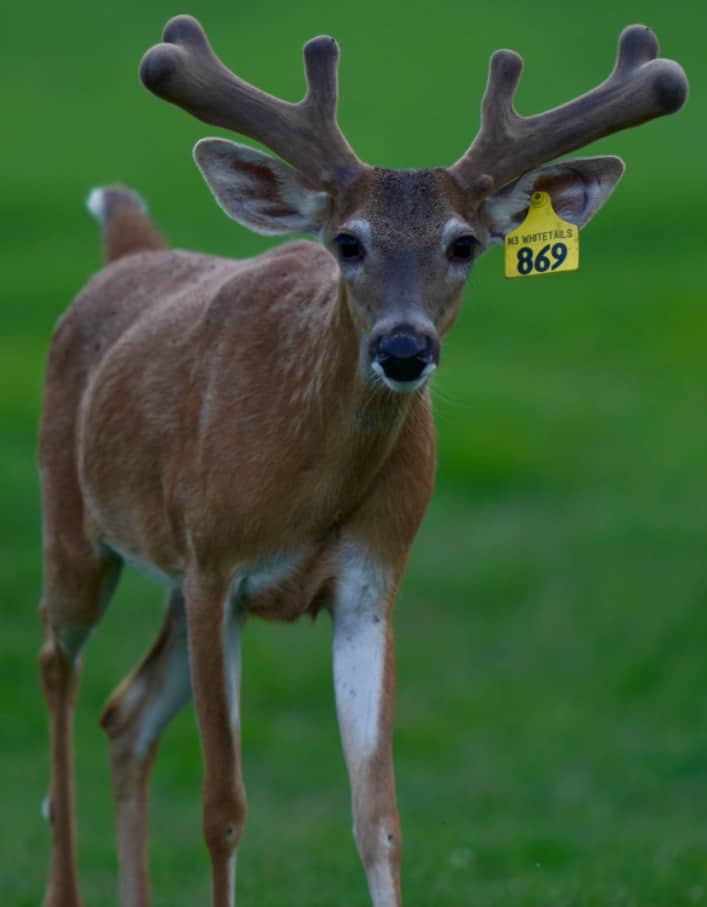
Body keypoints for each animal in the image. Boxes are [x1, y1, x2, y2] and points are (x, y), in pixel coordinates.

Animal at [38, 14, 687, 907]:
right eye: (347, 242)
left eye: (465, 244)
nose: (404, 348)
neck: (305, 488)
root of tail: (126, 250)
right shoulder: (215, 566)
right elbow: (222, 806)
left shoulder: (370, 579)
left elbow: (378, 816)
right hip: (73, 521)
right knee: (56, 667)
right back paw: (61, 883)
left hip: (164, 572)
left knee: (125, 711)